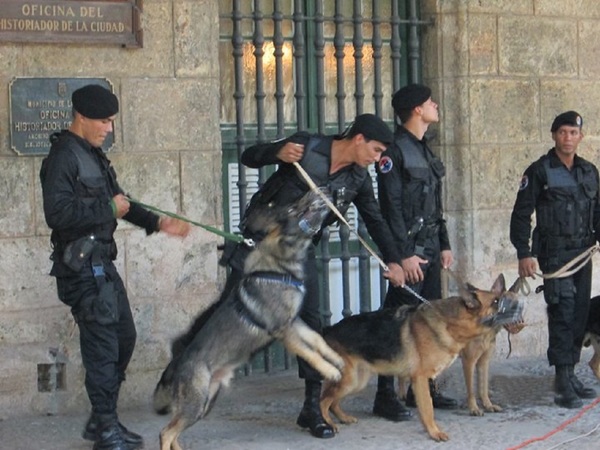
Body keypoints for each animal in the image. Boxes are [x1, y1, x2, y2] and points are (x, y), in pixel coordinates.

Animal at [152, 191, 344, 450]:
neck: (278, 266)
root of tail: (175, 367)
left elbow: (317, 340)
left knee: (173, 432)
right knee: (165, 433)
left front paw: (336, 359)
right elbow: (310, 353)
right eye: (292, 209)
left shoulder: (295, 322)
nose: (319, 191)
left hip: (203, 406)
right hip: (196, 405)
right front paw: (330, 371)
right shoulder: (284, 331)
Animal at [460, 276, 524, 416]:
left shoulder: (483, 362)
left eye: (517, 306)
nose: (521, 323)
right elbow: (471, 390)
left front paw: (488, 405)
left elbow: (483, 387)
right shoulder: (469, 362)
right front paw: (474, 408)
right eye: (506, 305)